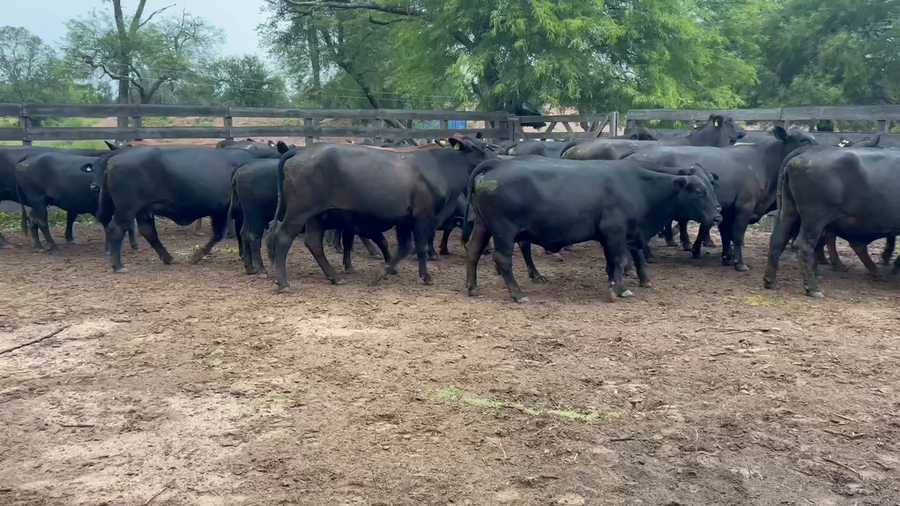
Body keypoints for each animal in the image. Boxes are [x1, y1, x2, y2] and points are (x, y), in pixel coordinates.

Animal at [83, 146, 256, 272]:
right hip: (126, 209)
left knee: (148, 231)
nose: (94, 187)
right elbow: (223, 234)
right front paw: (198, 255)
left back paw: (167, 258)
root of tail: (115, 157)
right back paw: (118, 265)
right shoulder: (228, 211)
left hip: (143, 209)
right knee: (117, 229)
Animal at [269, 135, 495, 292]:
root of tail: (300, 152)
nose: (495, 158)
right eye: (480, 148)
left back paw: (334, 276)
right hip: (299, 210)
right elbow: (420, 247)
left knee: (313, 243)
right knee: (283, 237)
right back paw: (283, 283)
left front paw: (382, 271)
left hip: (317, 215)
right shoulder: (424, 215)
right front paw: (426, 276)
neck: (441, 166)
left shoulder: (404, 219)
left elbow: (404, 247)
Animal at [463, 157, 722, 303]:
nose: (718, 215)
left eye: (712, 186)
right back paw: (518, 294)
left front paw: (615, 283)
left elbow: (613, 261)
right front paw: (620, 289)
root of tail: (496, 163)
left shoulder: (614, 235)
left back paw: (472, 287)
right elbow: (620, 259)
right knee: (503, 261)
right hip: (504, 231)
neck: (638, 186)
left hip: (483, 226)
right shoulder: (615, 232)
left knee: (473, 252)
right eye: (699, 191)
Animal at [625, 127, 818, 270]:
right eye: (804, 140)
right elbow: (737, 235)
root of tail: (634, 154)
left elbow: (726, 234)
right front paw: (739, 263)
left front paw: (726, 257)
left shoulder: (727, 209)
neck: (762, 162)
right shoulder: (744, 206)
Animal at [764, 147, 900, 297]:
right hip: (815, 218)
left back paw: (770, 281)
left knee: (778, 240)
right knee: (804, 246)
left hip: (789, 211)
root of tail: (806, 153)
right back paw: (813, 288)